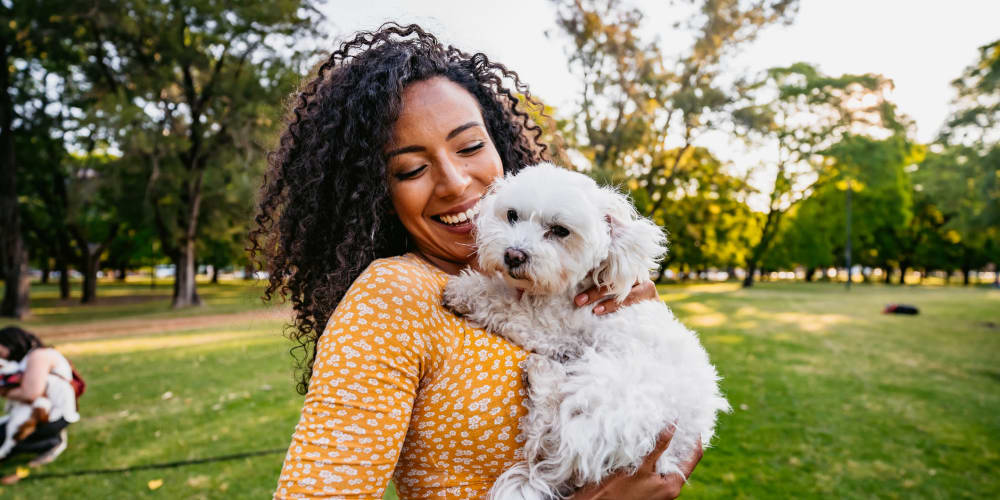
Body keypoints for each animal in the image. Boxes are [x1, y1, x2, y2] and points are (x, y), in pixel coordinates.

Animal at [442, 162, 732, 498]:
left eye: (560, 230)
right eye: (512, 215)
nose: (513, 255)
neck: (569, 289)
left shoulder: (552, 326)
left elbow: (505, 304)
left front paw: (465, 290)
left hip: (610, 393)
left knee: (549, 437)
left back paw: (543, 375)